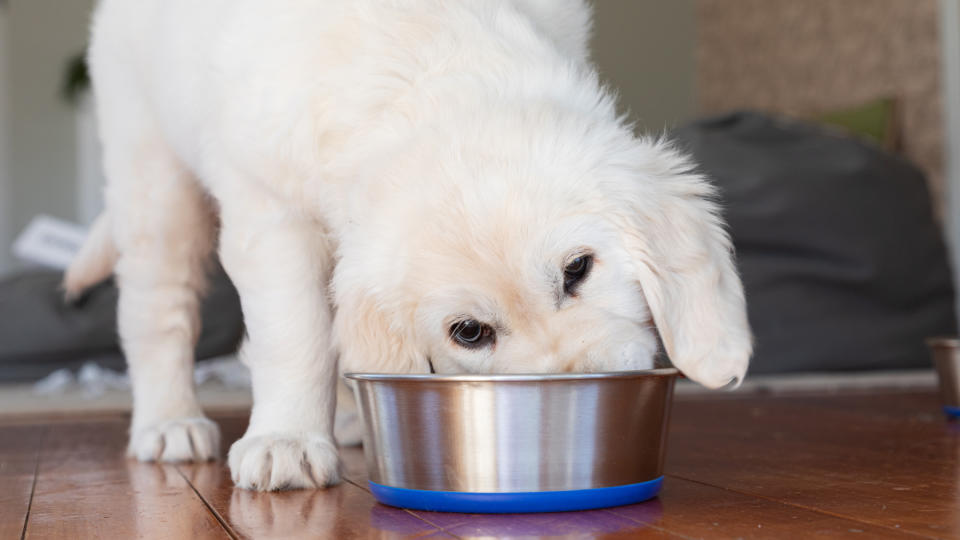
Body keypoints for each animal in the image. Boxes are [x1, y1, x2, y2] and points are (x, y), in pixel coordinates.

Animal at [67, 0, 752, 492]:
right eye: (469, 333)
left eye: (578, 269)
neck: (424, 64)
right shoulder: (270, 212)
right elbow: (296, 333)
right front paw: (287, 439)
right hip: (150, 173)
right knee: (158, 310)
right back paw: (169, 423)